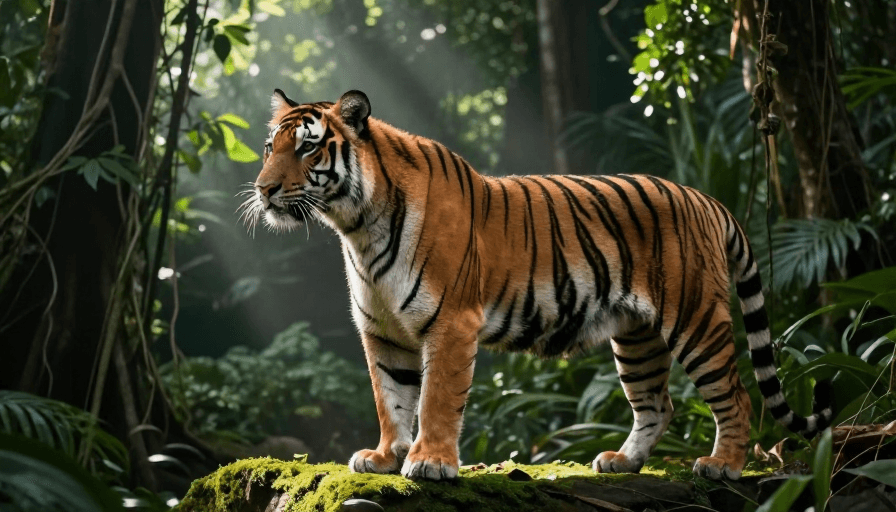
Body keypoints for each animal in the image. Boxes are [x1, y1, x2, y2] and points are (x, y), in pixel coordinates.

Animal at [244, 89, 833, 481]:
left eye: (307, 149)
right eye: (271, 147)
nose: (264, 189)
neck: (356, 226)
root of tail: (706, 198)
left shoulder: (450, 323)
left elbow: (434, 399)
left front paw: (430, 462)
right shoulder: (383, 332)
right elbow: (390, 398)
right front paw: (385, 456)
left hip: (696, 320)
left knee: (736, 394)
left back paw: (722, 465)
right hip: (637, 337)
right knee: (657, 403)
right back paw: (623, 461)